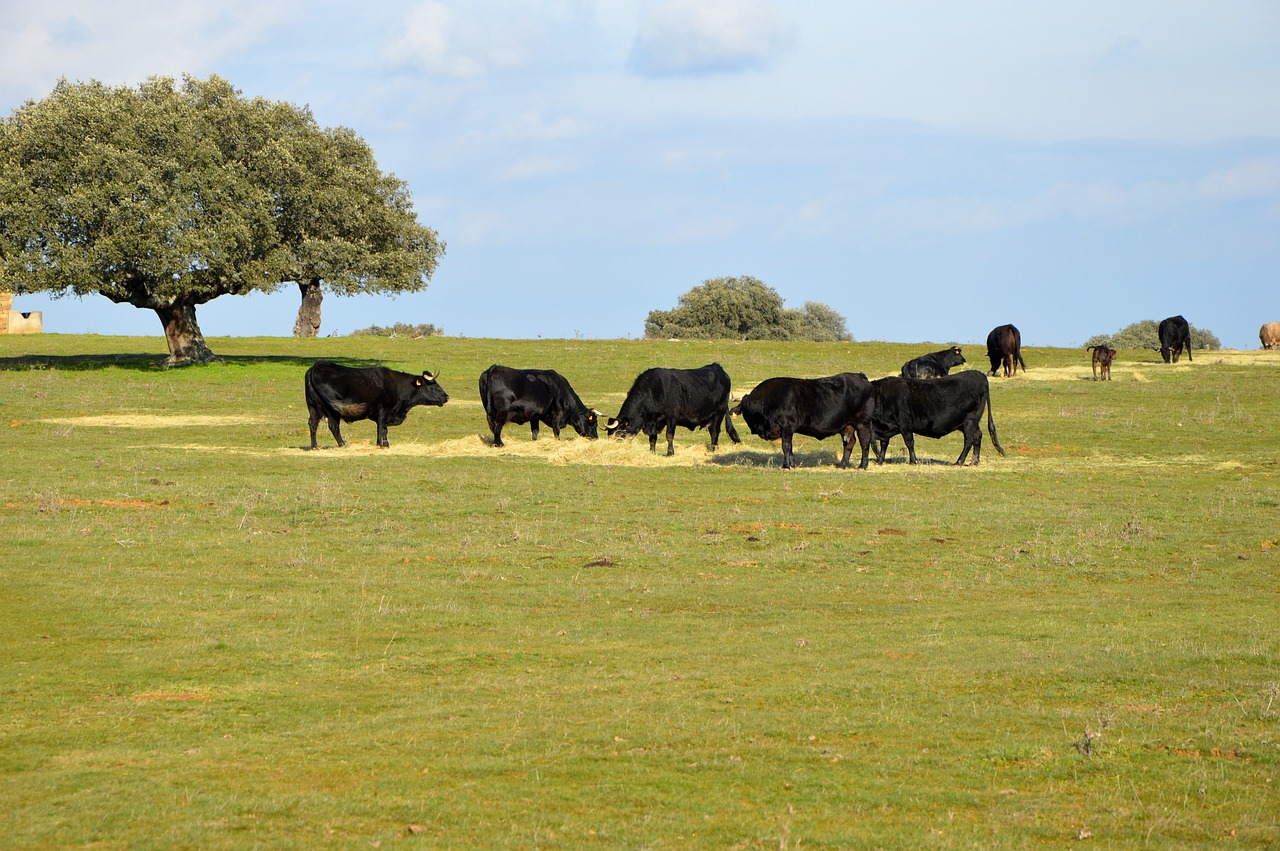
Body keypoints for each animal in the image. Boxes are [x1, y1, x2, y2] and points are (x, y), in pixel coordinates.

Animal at [304, 360, 450, 447]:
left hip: (313, 407)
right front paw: (381, 444)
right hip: (332, 410)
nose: (446, 397)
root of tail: (317, 366)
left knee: (313, 424)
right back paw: (343, 444)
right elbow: (381, 428)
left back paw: (314, 446)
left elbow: (384, 429)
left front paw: (386, 444)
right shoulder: (384, 410)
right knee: (333, 426)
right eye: (432, 386)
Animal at [606, 360, 742, 455]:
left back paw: (713, 449)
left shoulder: (672, 417)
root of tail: (717, 367)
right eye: (610, 434)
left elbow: (669, 435)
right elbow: (652, 438)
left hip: (719, 413)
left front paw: (670, 452)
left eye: (619, 434)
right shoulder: (654, 422)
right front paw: (652, 452)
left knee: (714, 432)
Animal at [732, 371, 880, 468]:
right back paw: (842, 465)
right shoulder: (788, 430)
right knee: (849, 443)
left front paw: (786, 465)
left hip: (862, 423)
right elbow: (790, 447)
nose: (753, 429)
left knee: (864, 442)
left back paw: (863, 465)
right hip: (846, 426)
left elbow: (786, 446)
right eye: (745, 411)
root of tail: (859, 376)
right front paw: (792, 464)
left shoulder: (787, 426)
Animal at [875, 371, 1003, 465]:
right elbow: (884, 443)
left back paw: (959, 461)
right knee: (977, 436)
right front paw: (880, 460)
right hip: (968, 423)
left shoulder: (905, 424)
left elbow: (909, 442)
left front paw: (913, 461)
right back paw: (974, 462)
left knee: (970, 439)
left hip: (969, 421)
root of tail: (979, 375)